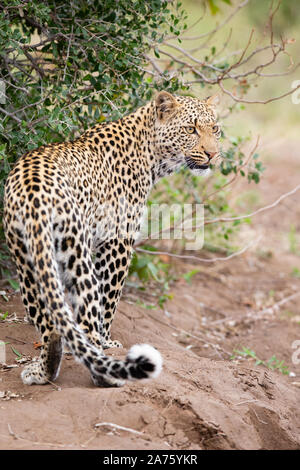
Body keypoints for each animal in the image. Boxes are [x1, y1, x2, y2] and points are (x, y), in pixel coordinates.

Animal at [3, 90, 221, 388]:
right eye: (191, 129)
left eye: (215, 129)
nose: (213, 154)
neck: (152, 155)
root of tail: (32, 190)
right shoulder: (118, 241)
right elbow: (109, 299)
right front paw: (108, 342)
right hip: (76, 254)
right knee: (86, 314)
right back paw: (106, 372)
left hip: (27, 260)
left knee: (49, 322)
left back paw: (43, 371)